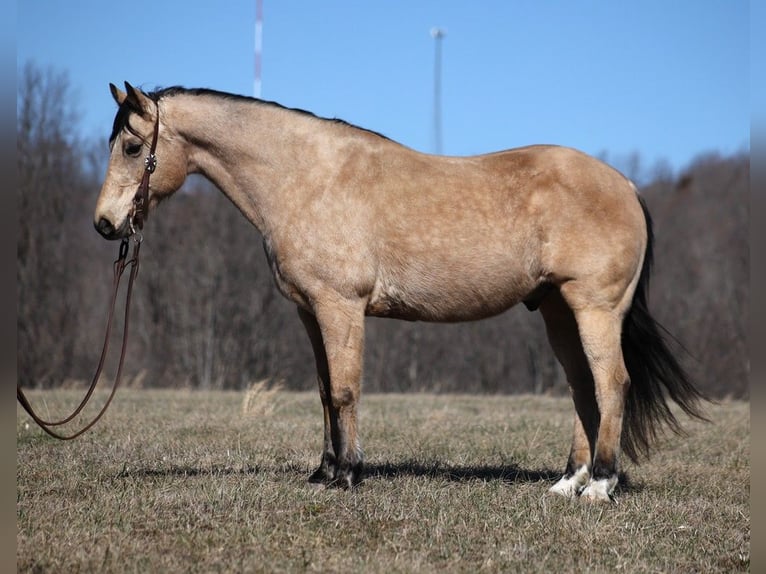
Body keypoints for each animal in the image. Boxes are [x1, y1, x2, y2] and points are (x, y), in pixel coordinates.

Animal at [96, 82, 708, 504]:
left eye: (132, 146)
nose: (105, 224)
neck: (305, 177)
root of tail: (625, 184)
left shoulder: (340, 307)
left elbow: (346, 391)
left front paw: (348, 475)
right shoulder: (309, 313)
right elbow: (325, 392)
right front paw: (323, 472)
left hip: (595, 308)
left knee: (611, 384)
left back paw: (600, 486)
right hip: (558, 311)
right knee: (583, 387)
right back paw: (566, 483)